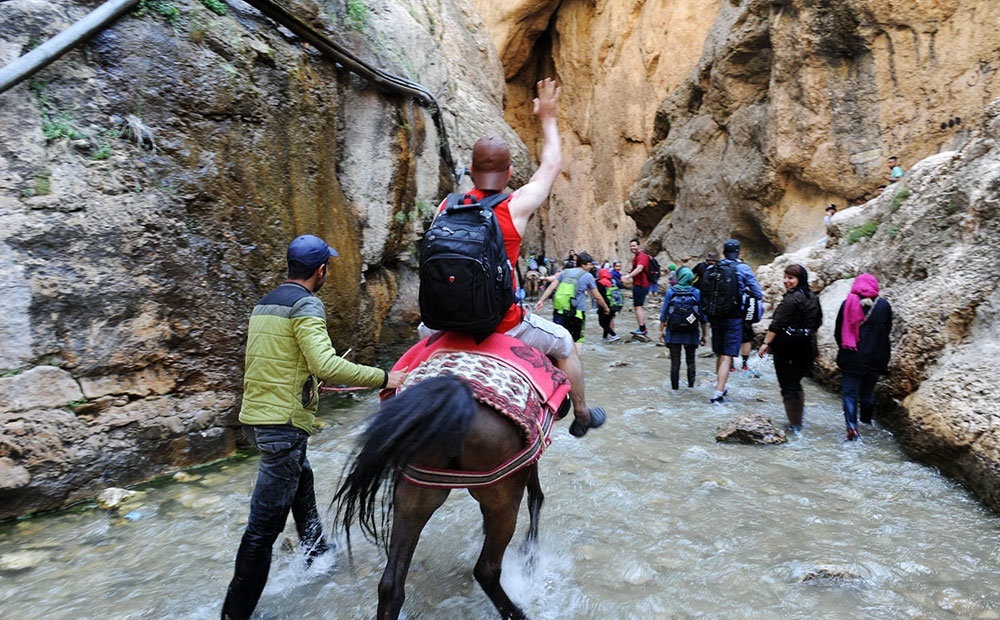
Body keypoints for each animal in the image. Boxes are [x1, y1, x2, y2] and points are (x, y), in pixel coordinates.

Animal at [336, 372, 556, 620]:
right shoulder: (525, 460)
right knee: (486, 569)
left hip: (414, 498)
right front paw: (530, 554)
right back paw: (518, 612)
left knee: (390, 586)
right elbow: (535, 495)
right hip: (505, 500)